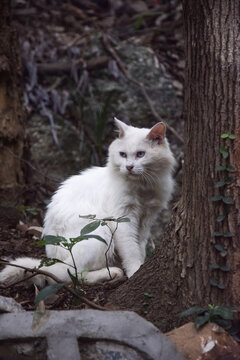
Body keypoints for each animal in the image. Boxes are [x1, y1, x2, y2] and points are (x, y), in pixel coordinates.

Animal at [0, 118, 175, 286]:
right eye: (123, 154)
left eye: (140, 154)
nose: (129, 167)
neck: (143, 187)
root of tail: (55, 259)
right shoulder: (123, 220)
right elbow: (131, 250)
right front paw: (135, 272)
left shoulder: (146, 220)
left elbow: (140, 247)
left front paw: (141, 265)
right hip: (100, 231)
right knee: (72, 275)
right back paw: (111, 273)